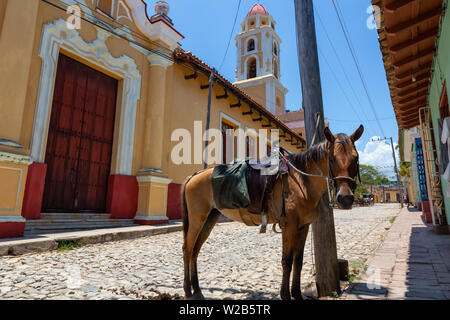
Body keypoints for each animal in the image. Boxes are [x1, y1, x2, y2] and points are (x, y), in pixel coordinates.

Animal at [181, 125, 364, 300]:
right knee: (187, 249)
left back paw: (197, 290)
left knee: (195, 250)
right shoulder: (289, 226)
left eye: (355, 158)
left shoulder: (303, 227)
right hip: (197, 219)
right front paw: (285, 295)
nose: (345, 198)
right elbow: (287, 261)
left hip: (210, 218)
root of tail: (194, 175)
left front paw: (297, 294)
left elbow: (298, 261)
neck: (302, 182)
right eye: (331, 158)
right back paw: (188, 291)